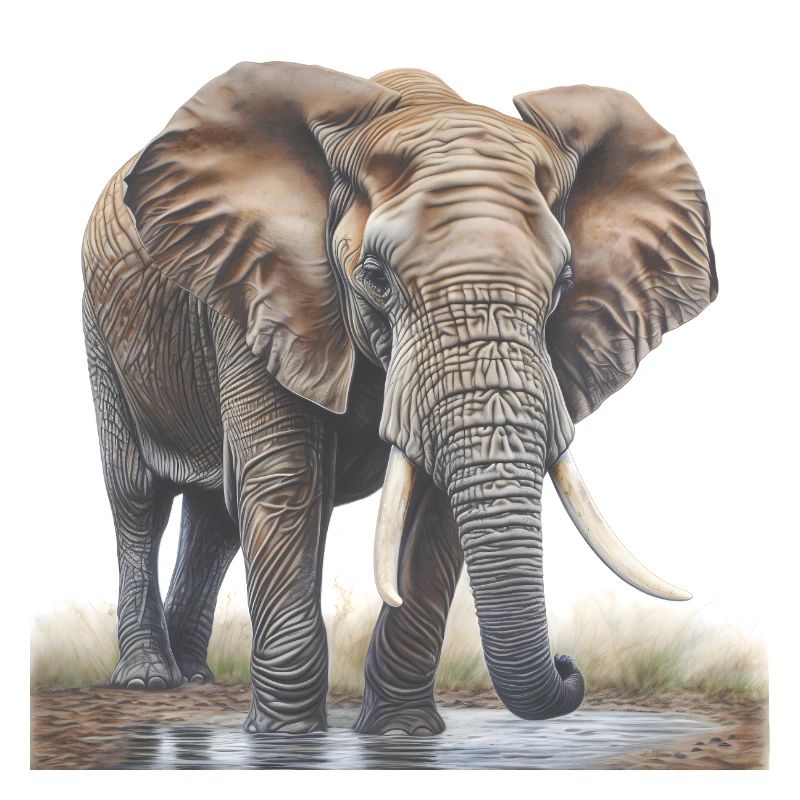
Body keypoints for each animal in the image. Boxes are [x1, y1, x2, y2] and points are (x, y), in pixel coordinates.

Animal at [82, 62, 717, 735]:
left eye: (565, 282)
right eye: (376, 277)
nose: (570, 666)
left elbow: (434, 504)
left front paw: (399, 732)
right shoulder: (257, 289)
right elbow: (286, 479)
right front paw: (286, 738)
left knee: (216, 520)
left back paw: (196, 677)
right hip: (102, 329)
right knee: (138, 498)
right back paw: (149, 678)